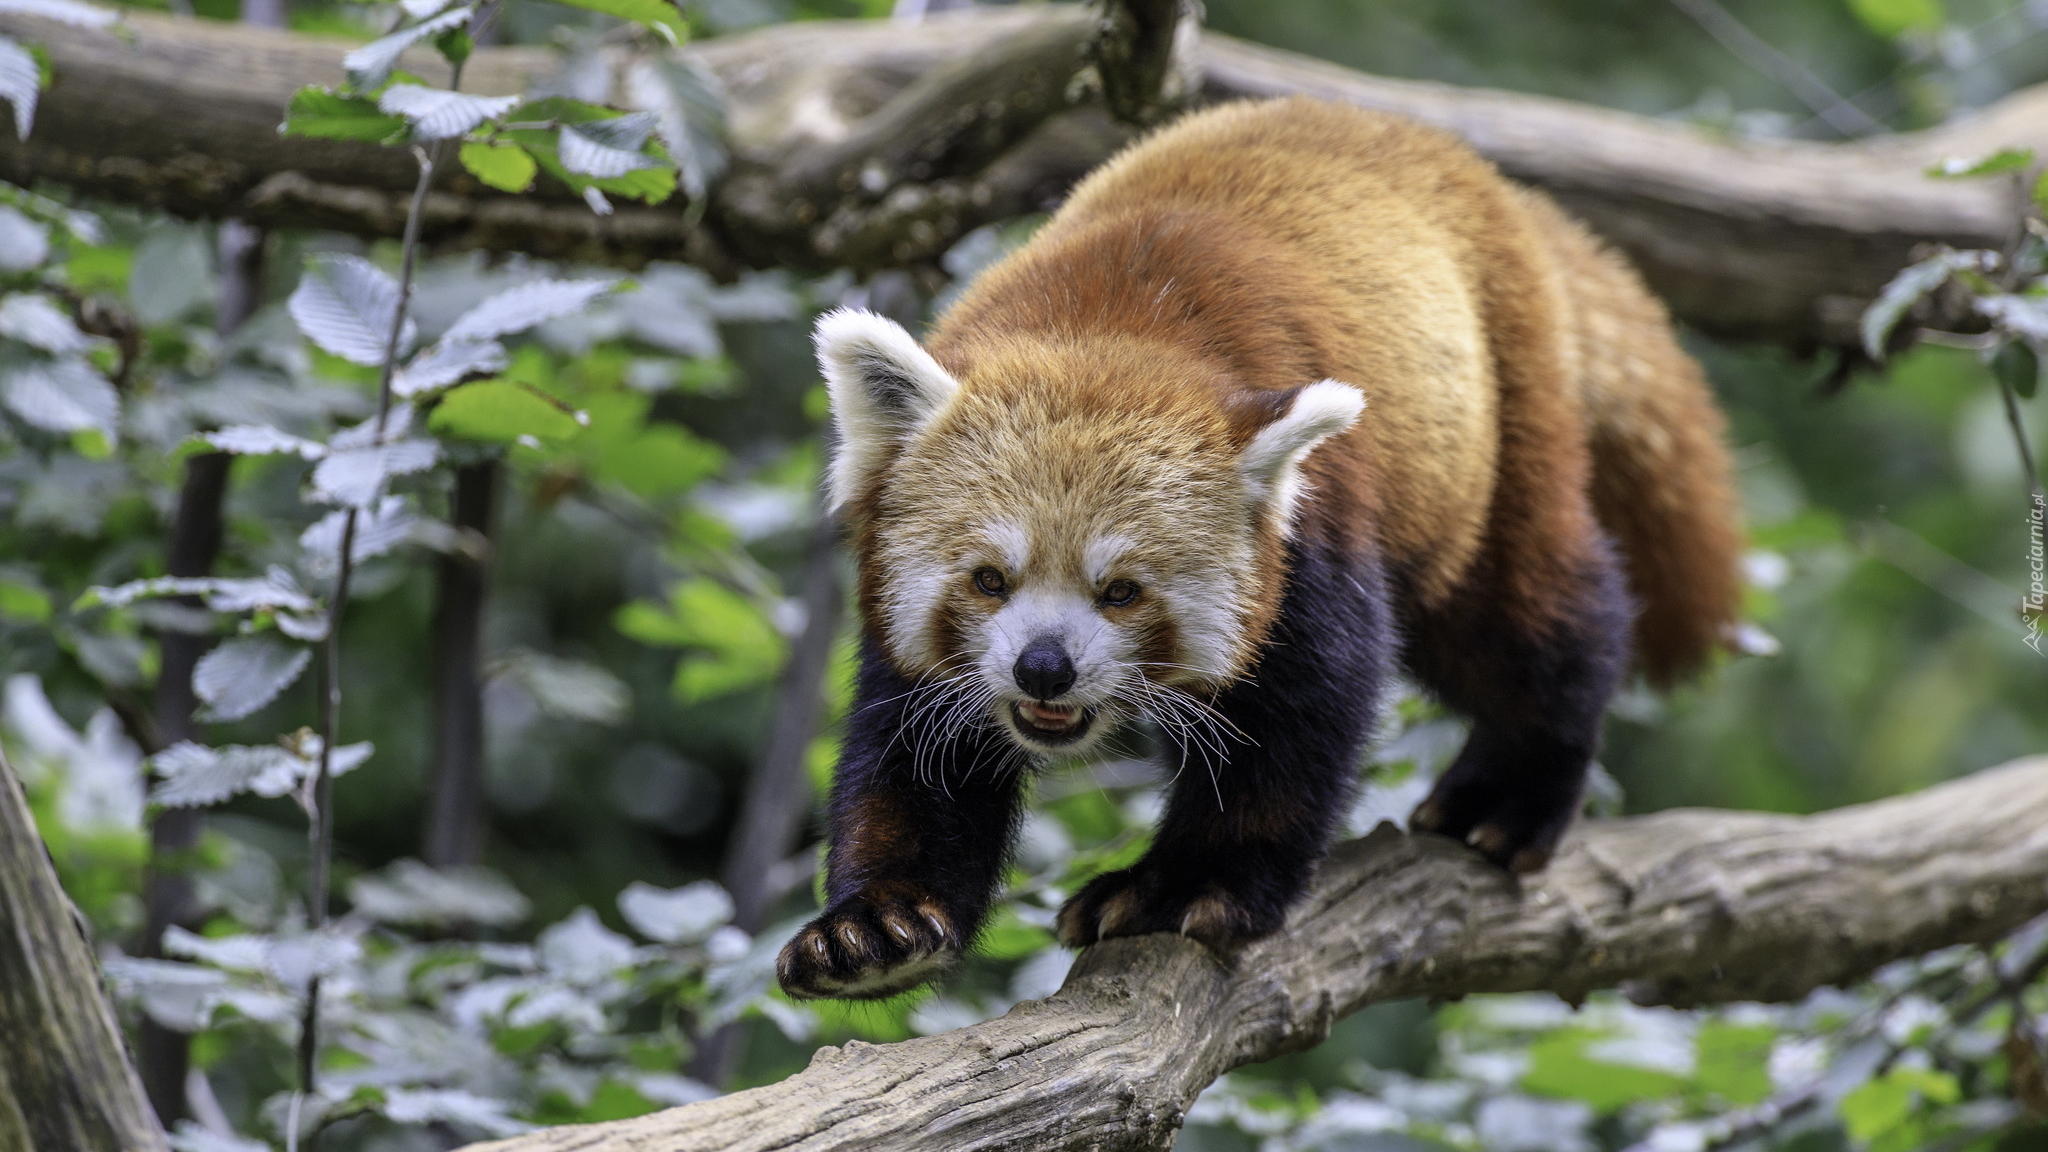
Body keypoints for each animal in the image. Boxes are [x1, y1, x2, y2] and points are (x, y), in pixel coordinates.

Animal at [774, 96, 1736, 996]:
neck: (1107, 322)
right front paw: (878, 927)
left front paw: (1183, 887)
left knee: (1529, 620)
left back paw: (1508, 794)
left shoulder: (1314, 532)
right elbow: (912, 753)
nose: (1043, 669)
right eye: (987, 579)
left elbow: (1300, 715)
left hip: (1498, 416)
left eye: (1121, 590)